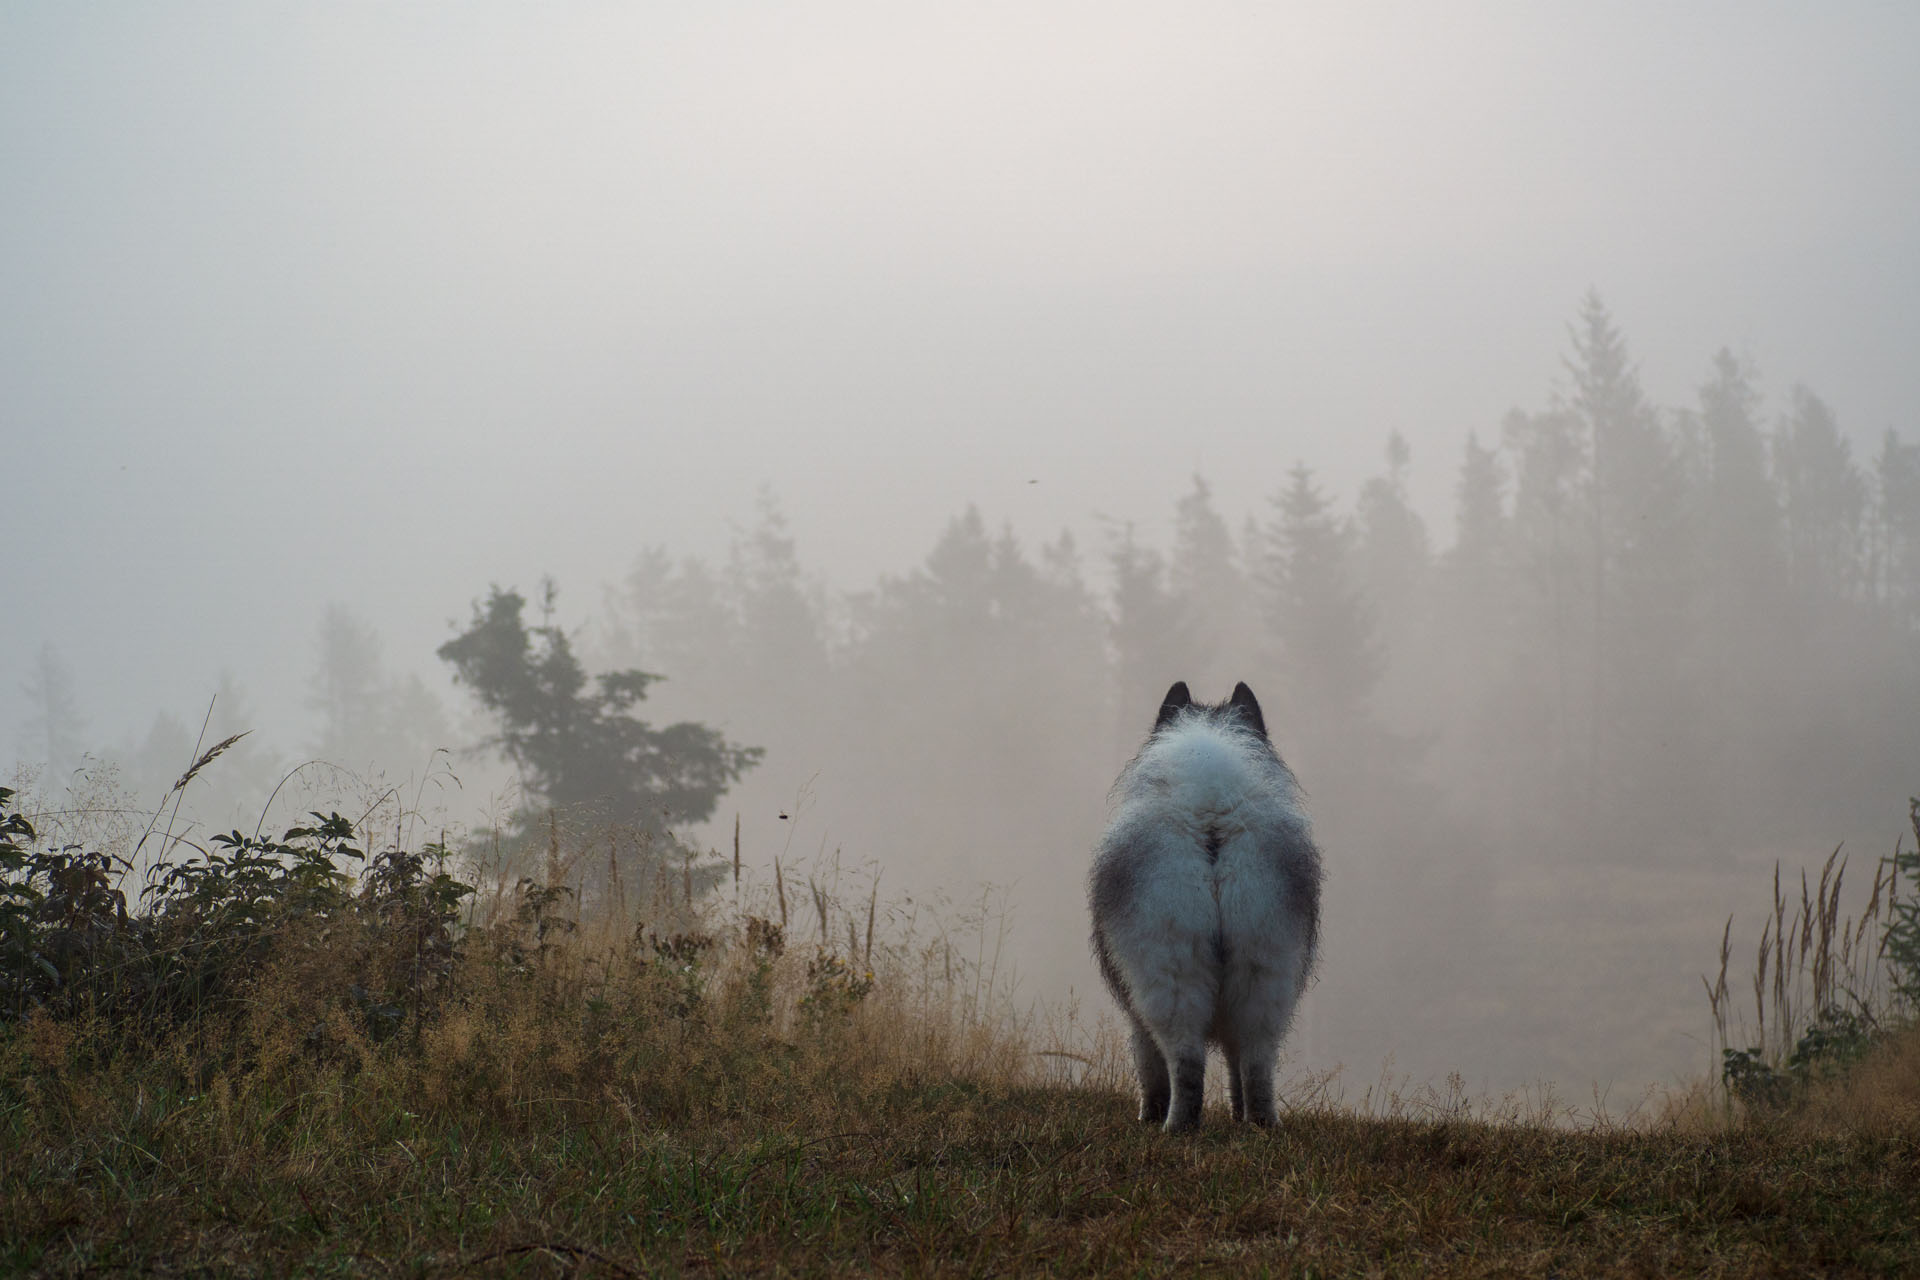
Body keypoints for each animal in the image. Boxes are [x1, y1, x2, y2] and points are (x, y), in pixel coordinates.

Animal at [1098, 679, 1320, 1128]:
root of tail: (1212, 821)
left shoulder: (1135, 1015)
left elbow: (1150, 1071)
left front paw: (1147, 1116)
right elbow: (1235, 1072)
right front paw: (1237, 1116)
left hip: (1169, 970)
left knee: (1185, 1063)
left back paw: (1174, 1128)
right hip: (1264, 968)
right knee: (1256, 1065)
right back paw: (1262, 1125)